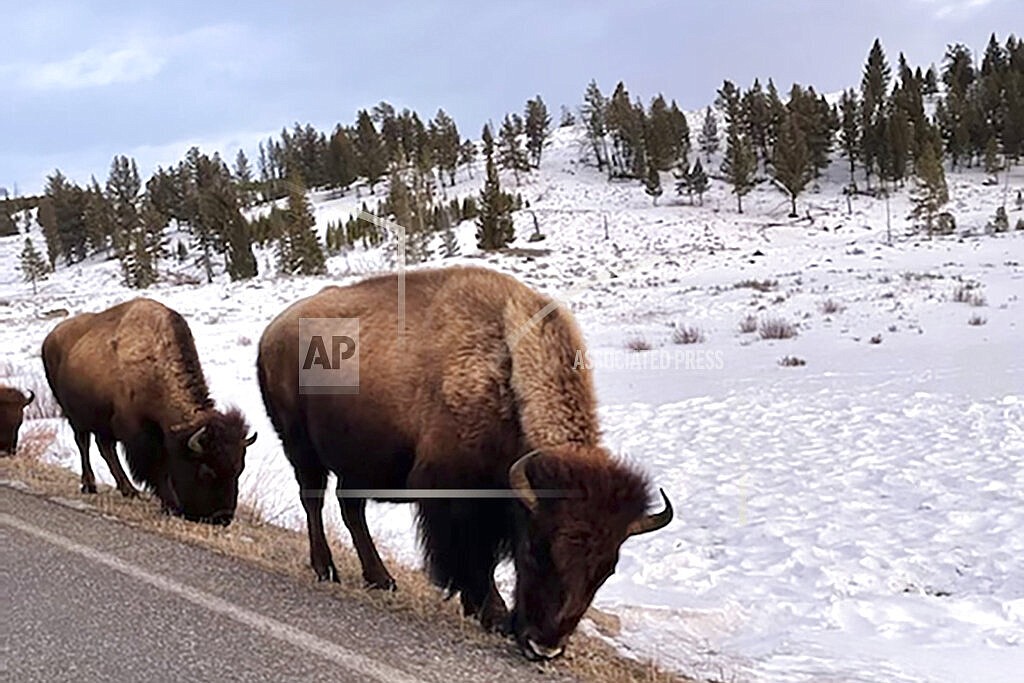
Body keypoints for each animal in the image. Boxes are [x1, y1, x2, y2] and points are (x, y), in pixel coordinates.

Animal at [44, 296, 258, 528]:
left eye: (239, 468)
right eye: (206, 470)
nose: (222, 517)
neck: (155, 366)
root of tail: (50, 338)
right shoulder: (138, 434)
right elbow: (156, 469)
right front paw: (170, 505)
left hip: (100, 421)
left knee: (105, 448)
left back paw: (128, 490)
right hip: (74, 416)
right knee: (84, 444)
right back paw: (89, 485)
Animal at [258, 264, 671, 659]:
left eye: (606, 569)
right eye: (535, 550)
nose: (545, 647)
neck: (505, 379)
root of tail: (272, 332)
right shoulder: (456, 499)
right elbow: (474, 558)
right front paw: (493, 614)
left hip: (356, 462)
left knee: (351, 509)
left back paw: (381, 579)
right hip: (301, 447)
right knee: (313, 500)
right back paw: (326, 569)